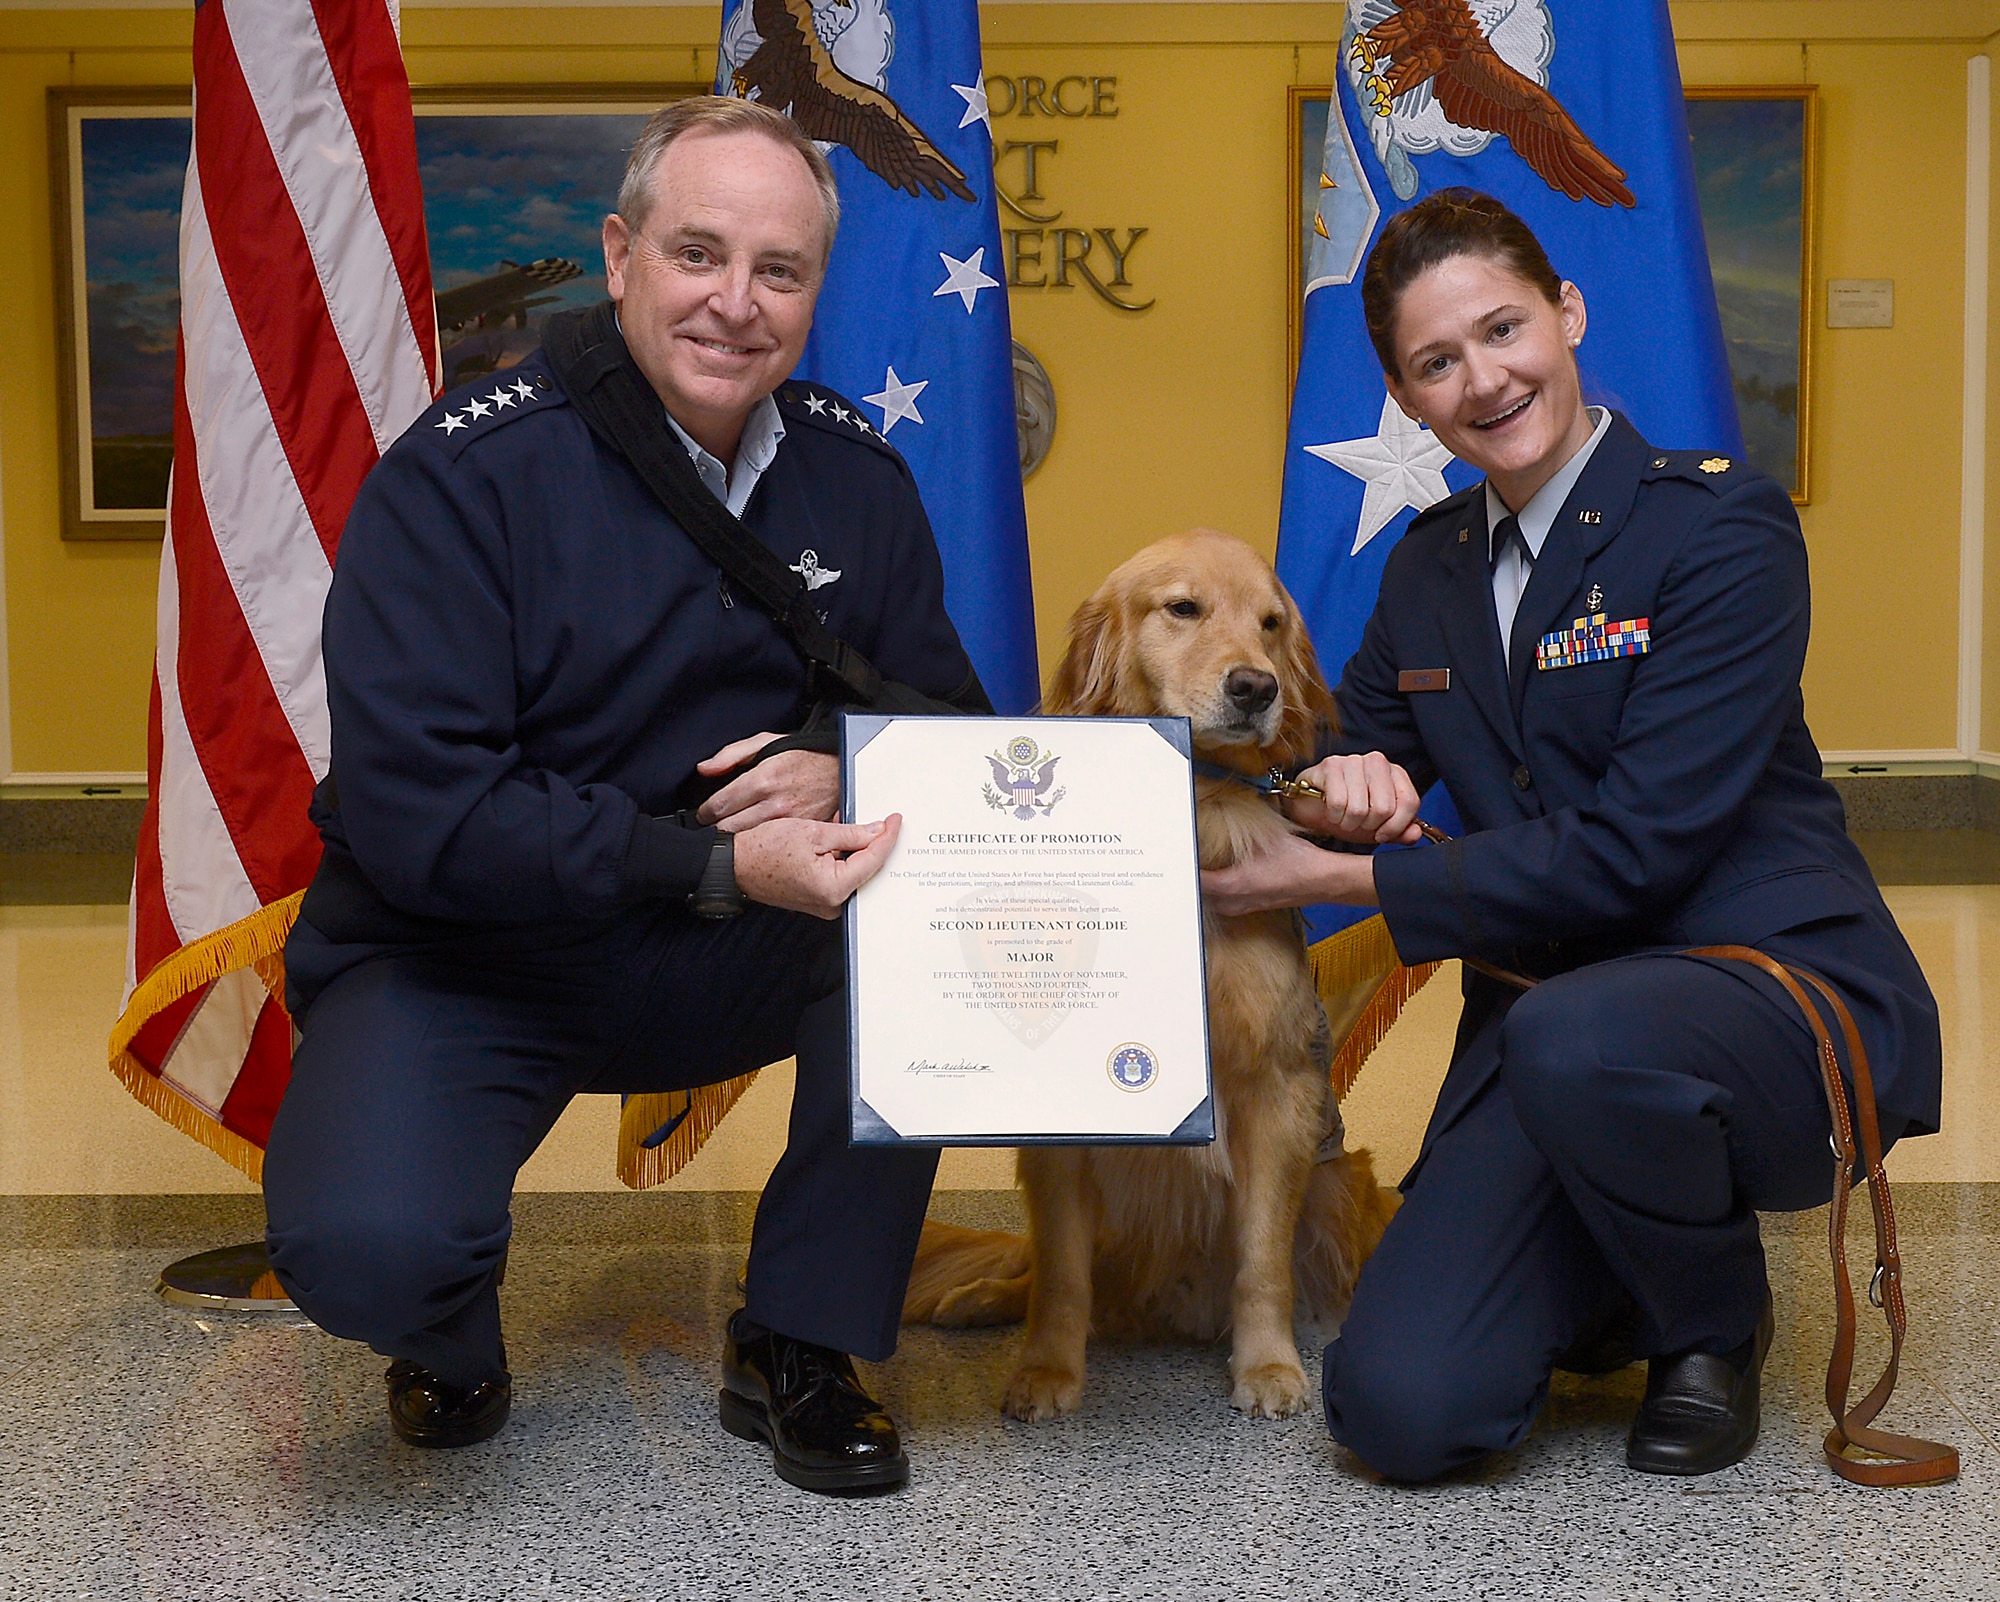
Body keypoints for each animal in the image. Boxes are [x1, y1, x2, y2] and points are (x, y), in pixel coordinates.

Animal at [908, 532, 1408, 1416]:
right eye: (1183, 608)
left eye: (1272, 623)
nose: (1256, 686)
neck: (1196, 801)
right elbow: (1061, 1274)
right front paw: (1047, 1370)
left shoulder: (1277, 1091)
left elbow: (1262, 1264)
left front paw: (1269, 1367)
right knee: (1041, 1269)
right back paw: (983, 1297)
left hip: (1346, 1179)